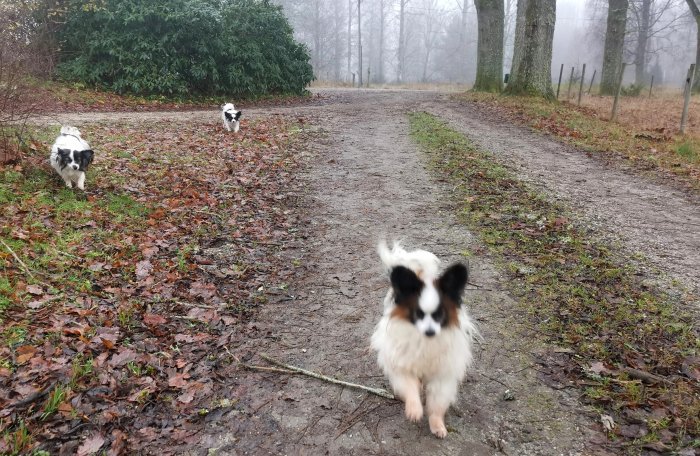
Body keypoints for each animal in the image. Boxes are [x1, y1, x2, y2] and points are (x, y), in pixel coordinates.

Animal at [370, 242, 478, 438]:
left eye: (439, 314)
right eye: (418, 314)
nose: (429, 331)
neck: (425, 342)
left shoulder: (442, 377)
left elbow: (437, 403)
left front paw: (437, 424)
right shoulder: (403, 367)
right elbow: (410, 388)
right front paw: (414, 409)